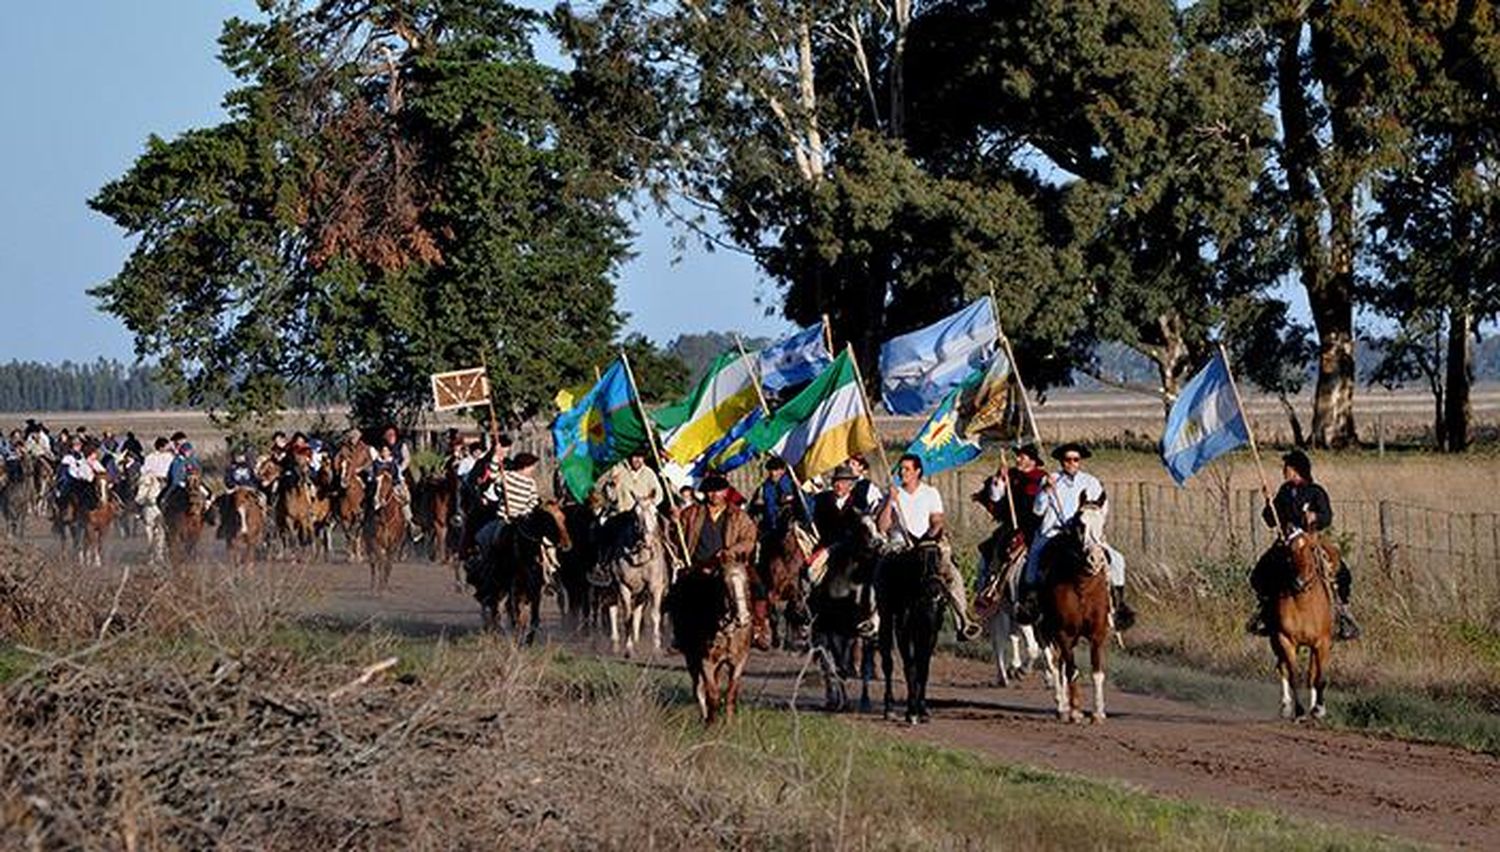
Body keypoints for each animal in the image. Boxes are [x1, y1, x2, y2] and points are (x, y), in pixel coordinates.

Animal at [594, 507, 672, 660]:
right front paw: (628, 649)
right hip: (610, 590)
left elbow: (654, 615)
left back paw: (636, 641)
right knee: (613, 611)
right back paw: (615, 644)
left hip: (641, 594)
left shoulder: (655, 587)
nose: (647, 539)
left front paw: (656, 649)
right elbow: (627, 616)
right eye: (635, 514)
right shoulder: (623, 587)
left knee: (637, 612)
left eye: (655, 512)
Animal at [1038, 495, 1122, 723]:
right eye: (1080, 525)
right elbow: (1071, 669)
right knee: (1054, 662)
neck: (1082, 586)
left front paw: (1098, 712)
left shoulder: (1098, 633)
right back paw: (1062, 706)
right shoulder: (1063, 632)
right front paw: (1075, 710)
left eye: (1103, 523)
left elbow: (1097, 672)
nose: (1095, 559)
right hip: (1046, 629)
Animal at [1260, 534, 1332, 720]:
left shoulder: (1322, 643)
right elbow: (1293, 675)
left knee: (1312, 673)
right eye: (1289, 551)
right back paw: (1286, 706)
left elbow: (1319, 677)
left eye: (1311, 549)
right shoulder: (1285, 640)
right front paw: (1299, 712)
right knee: (1282, 668)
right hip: (1276, 642)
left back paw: (1314, 707)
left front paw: (1319, 709)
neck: (1303, 602)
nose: (1299, 582)